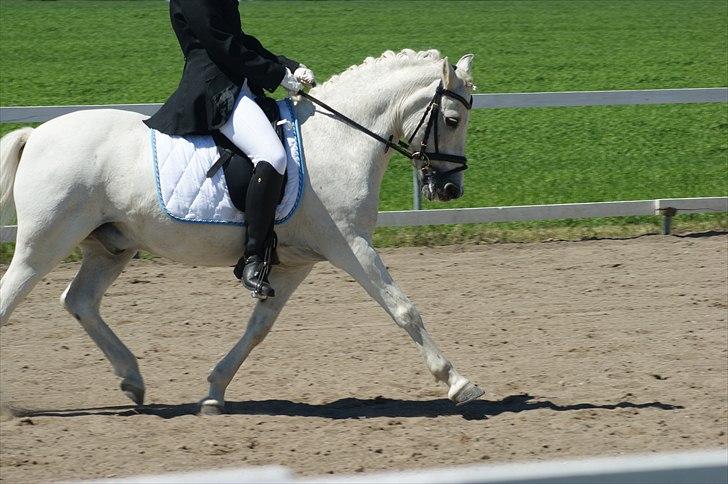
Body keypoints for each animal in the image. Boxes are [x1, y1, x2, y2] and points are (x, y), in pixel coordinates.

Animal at [0, 49, 484, 414]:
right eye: (453, 119)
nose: (450, 189)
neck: (338, 140)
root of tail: (35, 135)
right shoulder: (350, 245)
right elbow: (403, 309)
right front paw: (458, 383)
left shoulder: (293, 263)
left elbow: (258, 328)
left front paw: (214, 392)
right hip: (44, 244)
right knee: (12, 301)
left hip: (111, 247)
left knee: (79, 301)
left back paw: (133, 380)